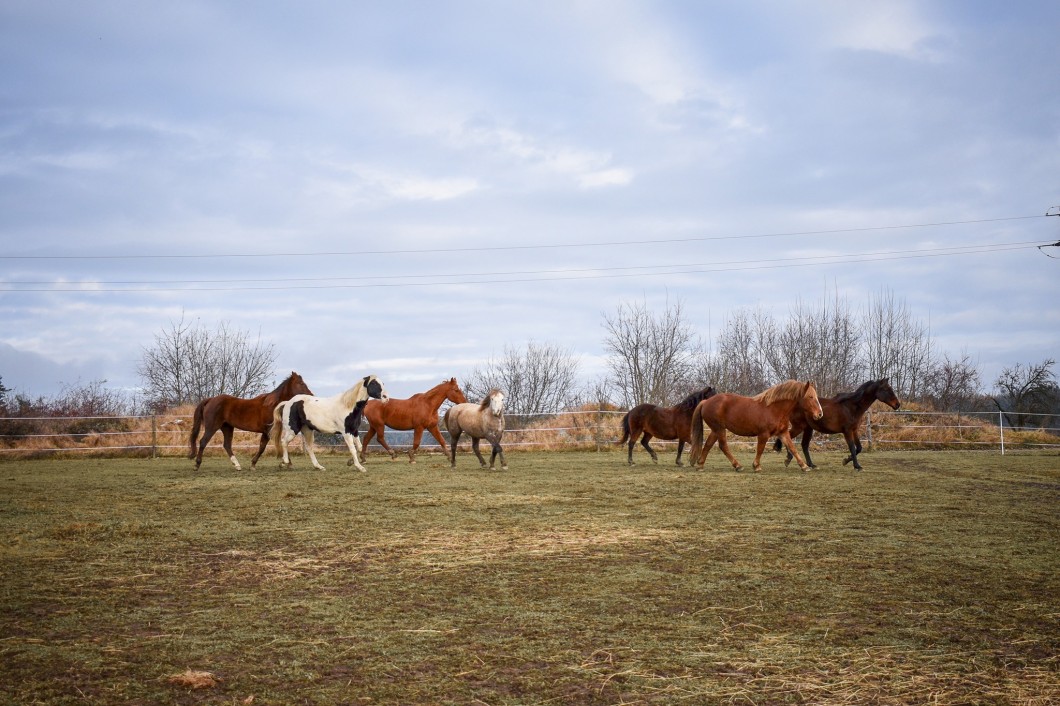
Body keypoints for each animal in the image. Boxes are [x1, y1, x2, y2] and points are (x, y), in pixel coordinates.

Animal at [686, 377, 826, 470]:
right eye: (810, 397)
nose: (820, 414)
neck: (774, 409)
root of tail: (706, 402)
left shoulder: (783, 433)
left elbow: (792, 448)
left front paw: (804, 466)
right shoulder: (763, 434)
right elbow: (760, 449)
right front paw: (756, 466)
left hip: (716, 430)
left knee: (708, 444)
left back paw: (700, 465)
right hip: (719, 429)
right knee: (723, 446)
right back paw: (737, 465)